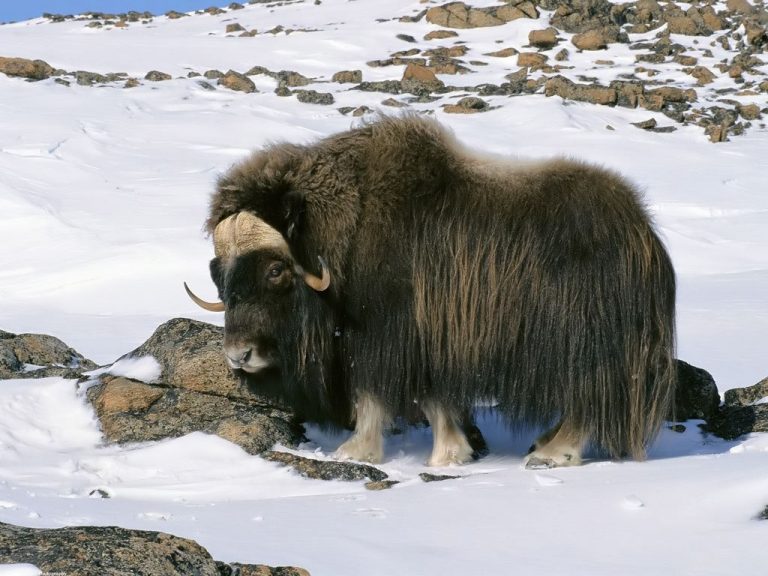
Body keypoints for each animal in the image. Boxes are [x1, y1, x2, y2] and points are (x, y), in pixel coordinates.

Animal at [185, 115, 676, 469]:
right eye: (218, 273)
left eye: (275, 269)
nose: (238, 355)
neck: (347, 229)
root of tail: (644, 235)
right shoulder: (427, 341)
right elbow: (436, 397)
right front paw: (455, 452)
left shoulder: (389, 336)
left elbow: (377, 396)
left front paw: (358, 453)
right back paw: (542, 443)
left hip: (584, 347)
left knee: (586, 400)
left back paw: (552, 454)